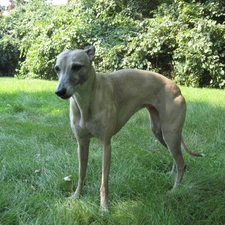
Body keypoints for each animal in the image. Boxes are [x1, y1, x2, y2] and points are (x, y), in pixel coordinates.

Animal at [54, 46, 202, 213]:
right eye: (56, 69)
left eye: (77, 66)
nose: (59, 91)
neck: (86, 101)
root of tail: (176, 87)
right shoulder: (81, 143)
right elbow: (81, 173)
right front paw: (76, 196)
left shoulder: (106, 144)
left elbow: (104, 182)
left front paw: (104, 207)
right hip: (160, 132)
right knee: (176, 157)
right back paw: (172, 174)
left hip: (170, 133)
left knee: (182, 162)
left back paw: (175, 189)